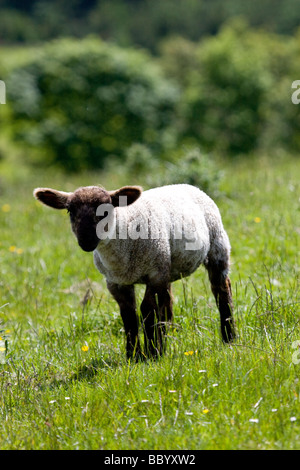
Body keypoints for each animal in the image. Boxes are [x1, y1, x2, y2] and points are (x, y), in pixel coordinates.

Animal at [32, 184, 234, 360]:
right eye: (70, 211)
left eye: (106, 210)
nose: (86, 240)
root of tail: (188, 185)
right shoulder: (116, 283)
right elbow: (129, 316)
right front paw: (133, 355)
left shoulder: (154, 275)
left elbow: (147, 311)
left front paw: (152, 352)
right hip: (167, 265)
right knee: (167, 302)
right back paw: (170, 335)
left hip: (216, 245)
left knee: (221, 290)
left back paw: (229, 337)